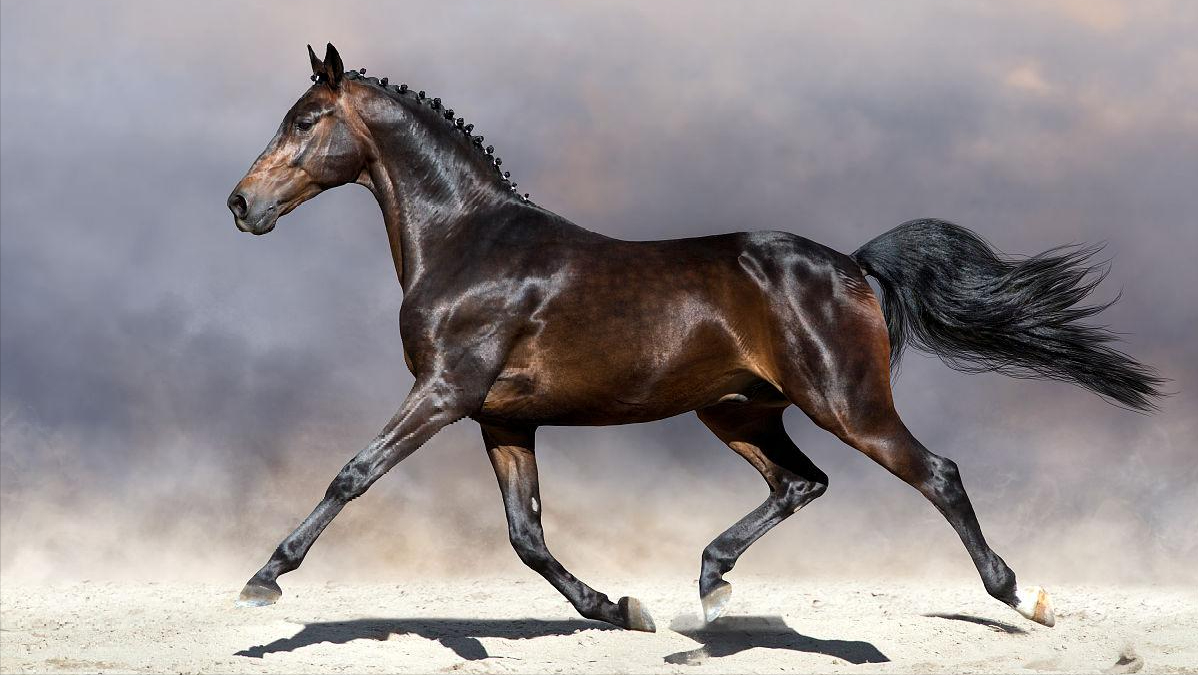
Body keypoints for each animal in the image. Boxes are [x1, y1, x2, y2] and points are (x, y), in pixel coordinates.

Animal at [226, 43, 1163, 632]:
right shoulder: (502, 417)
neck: (470, 243)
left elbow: (353, 473)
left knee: (936, 473)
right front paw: (617, 608)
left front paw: (263, 579)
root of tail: (856, 267)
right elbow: (527, 535)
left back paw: (1021, 597)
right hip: (740, 410)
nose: (242, 205)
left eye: (306, 118)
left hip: (846, 403)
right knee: (801, 483)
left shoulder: (446, 392)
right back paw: (711, 581)